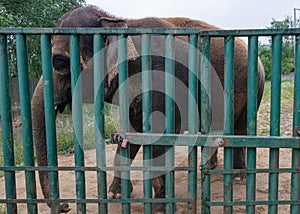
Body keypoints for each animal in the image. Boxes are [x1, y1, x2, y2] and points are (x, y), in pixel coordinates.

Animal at [31, 4, 264, 213]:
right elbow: (131, 133)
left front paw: (159, 208)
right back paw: (210, 166)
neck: (118, 21)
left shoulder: (161, 81)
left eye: (59, 62)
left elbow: (159, 137)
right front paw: (115, 194)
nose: (65, 206)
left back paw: (238, 176)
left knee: (240, 130)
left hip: (254, 87)